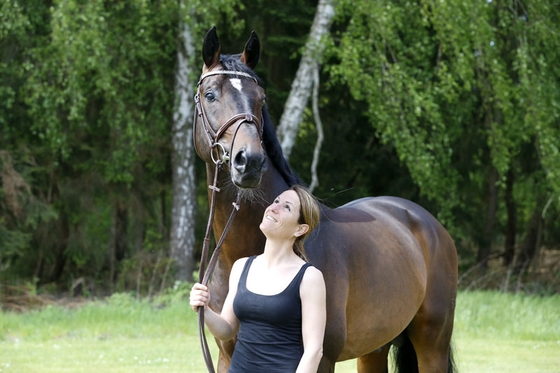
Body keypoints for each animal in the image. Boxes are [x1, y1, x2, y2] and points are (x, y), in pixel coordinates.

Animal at [191, 26, 456, 372]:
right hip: (374, 349)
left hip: (431, 343)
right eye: (210, 95)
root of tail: (429, 223)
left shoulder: (321, 358)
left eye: (261, 100)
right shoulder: (226, 356)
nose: (250, 161)